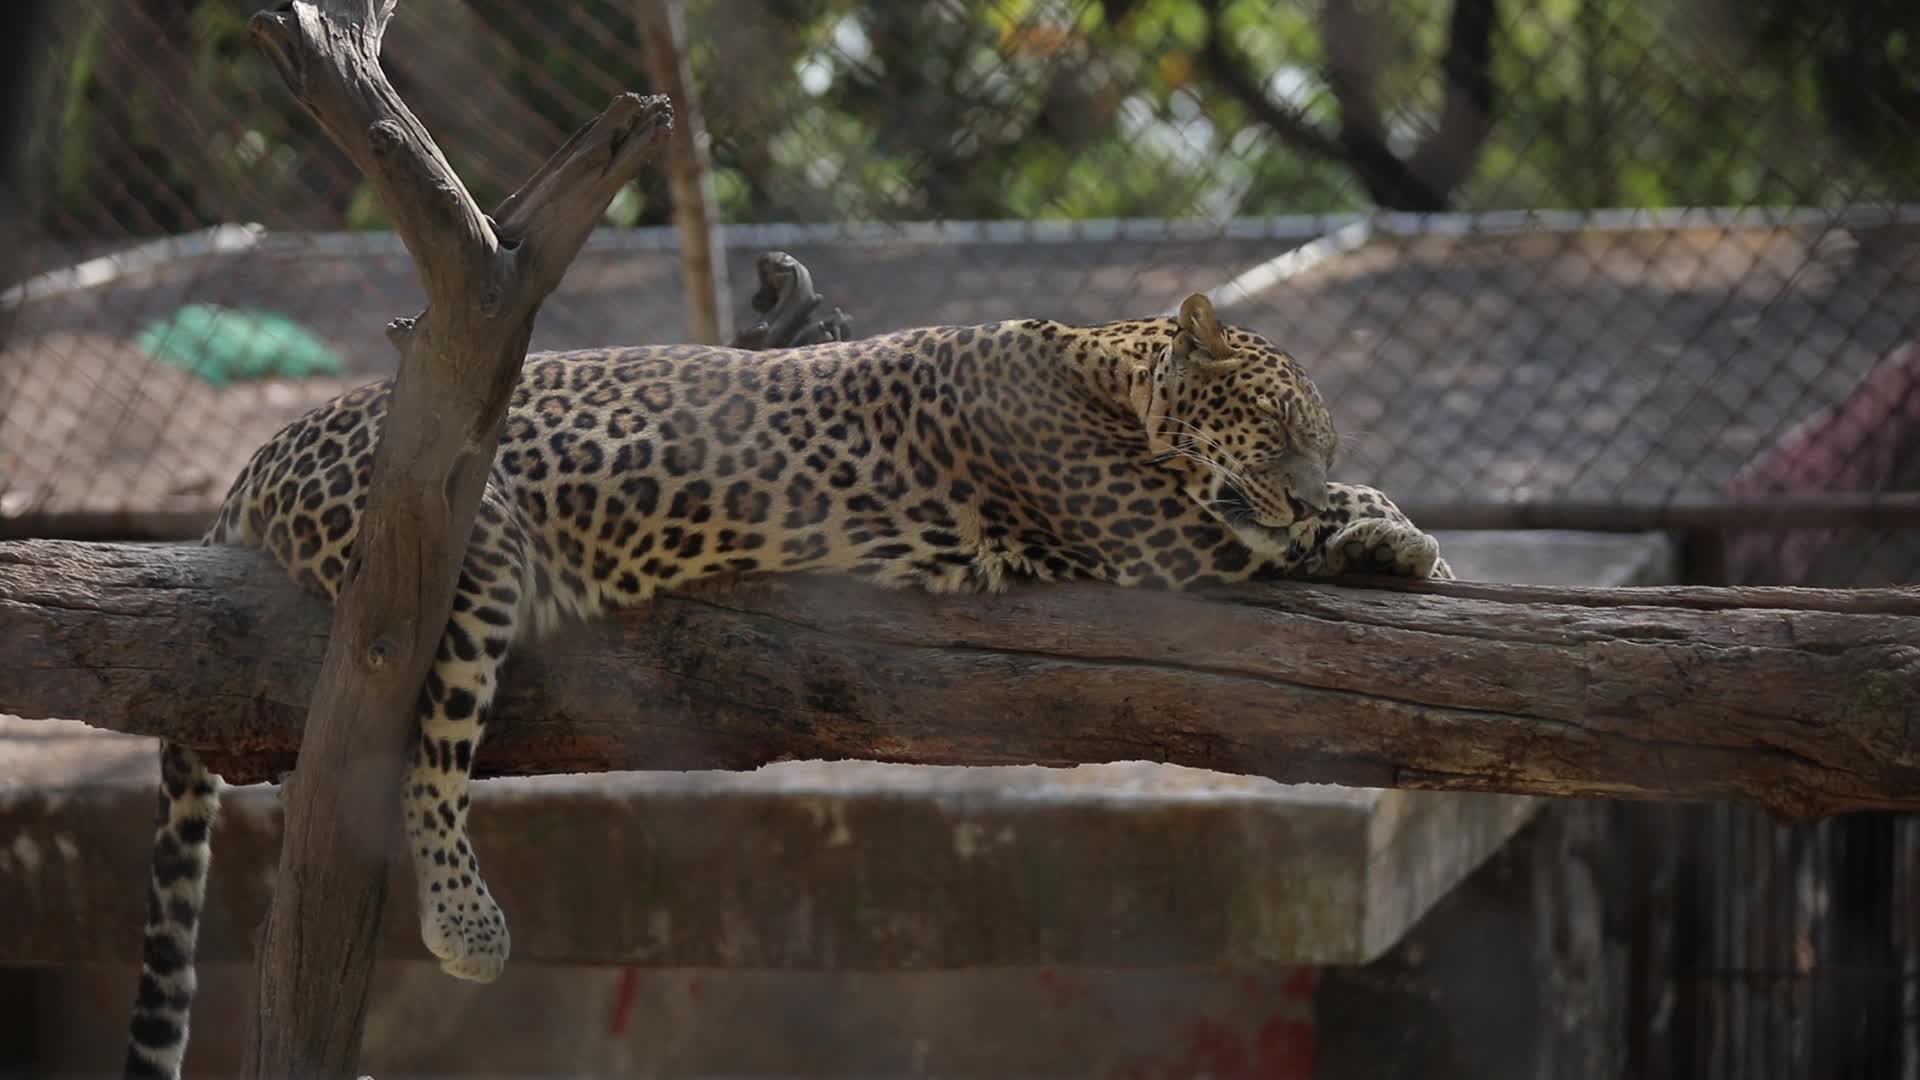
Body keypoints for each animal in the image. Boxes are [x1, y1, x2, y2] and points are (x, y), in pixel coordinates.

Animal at [122, 287, 1448, 1078]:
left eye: (1313, 430)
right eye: (1276, 423)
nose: (1295, 473)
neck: (1107, 370)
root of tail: (255, 458)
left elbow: (1340, 510)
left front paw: (1396, 530)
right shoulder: (1162, 540)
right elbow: (1303, 526)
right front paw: (1386, 532)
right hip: (468, 549)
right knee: (424, 754)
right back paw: (465, 925)